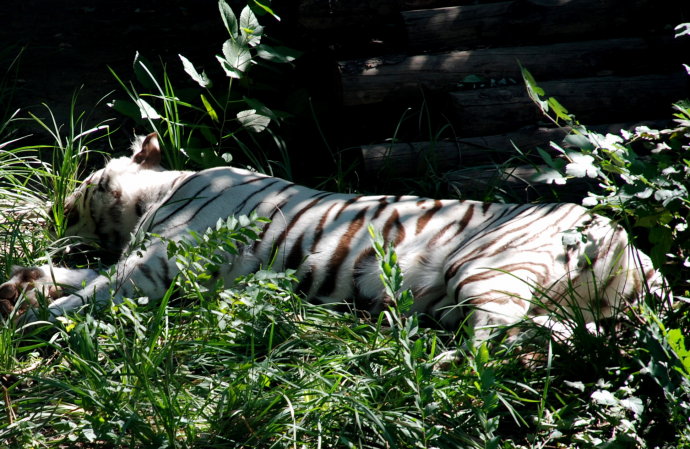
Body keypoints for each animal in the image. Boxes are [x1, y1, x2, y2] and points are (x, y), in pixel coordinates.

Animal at [0, 133, 666, 341]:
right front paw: (20, 284)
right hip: (557, 304)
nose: (56, 201)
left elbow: (87, 295)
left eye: (85, 180)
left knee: (491, 343)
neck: (155, 198)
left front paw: (32, 315)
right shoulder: (142, 261)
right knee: (554, 333)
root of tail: (635, 253)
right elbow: (78, 276)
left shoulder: (160, 264)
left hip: (489, 271)